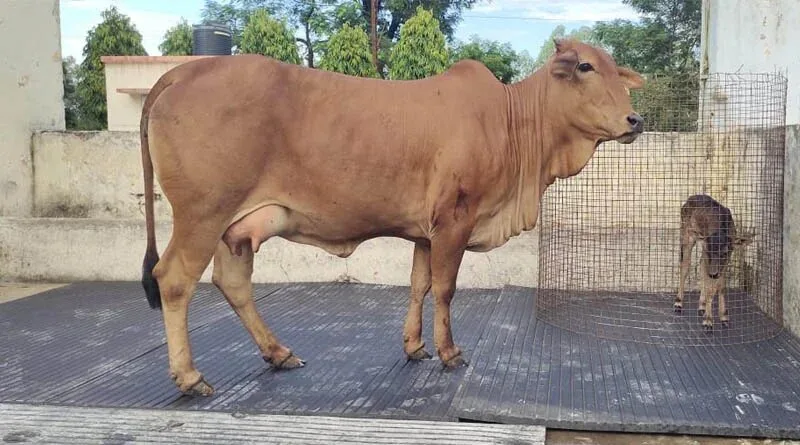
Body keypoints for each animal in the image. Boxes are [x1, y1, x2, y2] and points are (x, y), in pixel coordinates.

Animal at [139, 38, 646, 396]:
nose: (634, 120)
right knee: (174, 280)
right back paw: (190, 376)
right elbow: (444, 288)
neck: (514, 125)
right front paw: (448, 351)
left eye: (616, 70)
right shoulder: (455, 221)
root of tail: (183, 70)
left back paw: (278, 353)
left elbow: (419, 284)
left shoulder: (426, 232)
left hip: (236, 227)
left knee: (232, 282)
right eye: (585, 67)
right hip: (203, 215)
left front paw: (415, 346)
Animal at [674, 194, 753, 330]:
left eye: (725, 253)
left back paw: (701, 305)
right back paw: (679, 303)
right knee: (685, 265)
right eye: (709, 251)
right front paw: (708, 321)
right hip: (686, 233)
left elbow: (720, 285)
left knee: (701, 267)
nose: (713, 273)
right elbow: (711, 287)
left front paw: (724, 317)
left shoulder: (726, 258)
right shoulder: (707, 254)